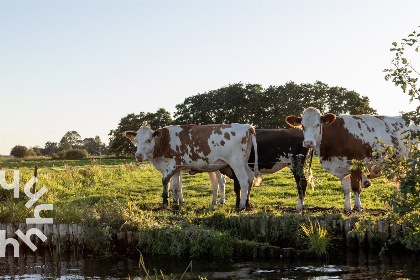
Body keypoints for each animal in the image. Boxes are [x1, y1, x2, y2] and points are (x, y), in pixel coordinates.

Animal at [124, 124, 258, 210]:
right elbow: (175, 186)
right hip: (244, 163)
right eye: (135, 141)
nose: (138, 155)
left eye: (148, 140)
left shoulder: (172, 165)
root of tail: (248, 127)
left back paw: (241, 206)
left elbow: (165, 182)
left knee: (243, 181)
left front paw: (165, 203)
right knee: (250, 178)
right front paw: (176, 203)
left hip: (236, 163)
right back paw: (248, 204)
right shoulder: (176, 168)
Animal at [286, 107, 416, 212]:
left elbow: (355, 187)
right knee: (402, 183)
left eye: (318, 124)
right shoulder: (342, 166)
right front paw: (347, 208)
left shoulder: (356, 164)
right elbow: (346, 188)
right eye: (302, 126)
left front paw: (358, 208)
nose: (308, 143)